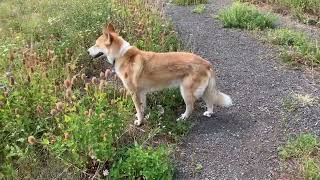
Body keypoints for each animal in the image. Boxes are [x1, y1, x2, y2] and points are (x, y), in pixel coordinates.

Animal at [87, 23, 232, 126]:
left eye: (96, 44)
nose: (87, 51)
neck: (121, 55)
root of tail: (206, 63)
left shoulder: (134, 93)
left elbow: (138, 109)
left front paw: (139, 122)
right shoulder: (141, 92)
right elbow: (142, 107)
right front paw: (142, 116)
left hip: (186, 91)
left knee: (191, 107)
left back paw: (183, 118)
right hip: (204, 90)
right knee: (210, 101)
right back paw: (209, 113)